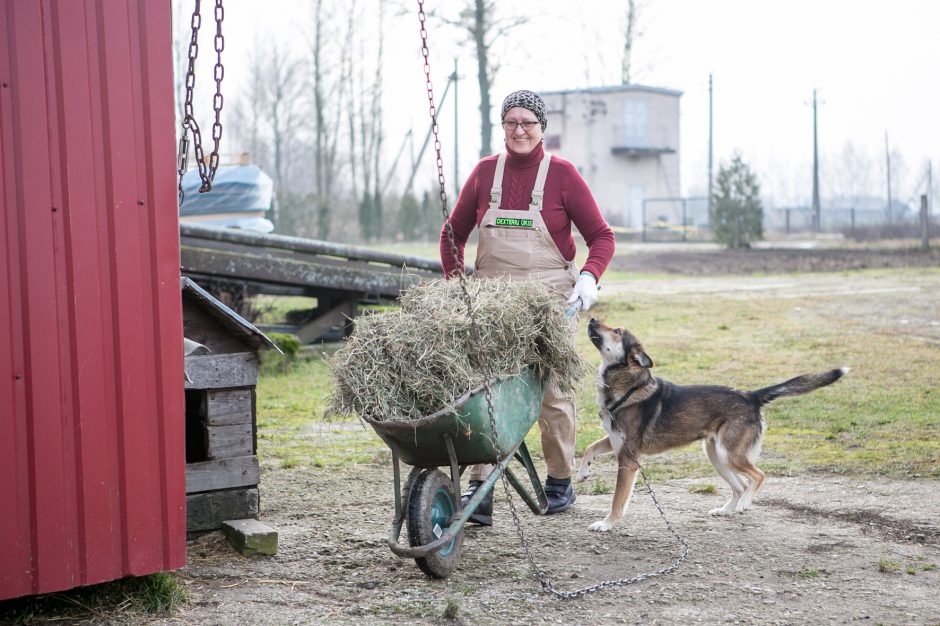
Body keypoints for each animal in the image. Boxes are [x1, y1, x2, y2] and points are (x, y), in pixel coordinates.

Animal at [576, 316, 848, 532]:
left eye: (617, 330)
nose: (592, 318)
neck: (628, 386)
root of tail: (750, 395)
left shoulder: (628, 458)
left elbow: (617, 499)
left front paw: (607, 524)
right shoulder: (614, 441)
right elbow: (590, 447)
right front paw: (582, 471)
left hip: (730, 454)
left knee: (757, 476)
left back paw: (744, 504)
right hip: (716, 456)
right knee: (740, 485)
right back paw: (727, 509)